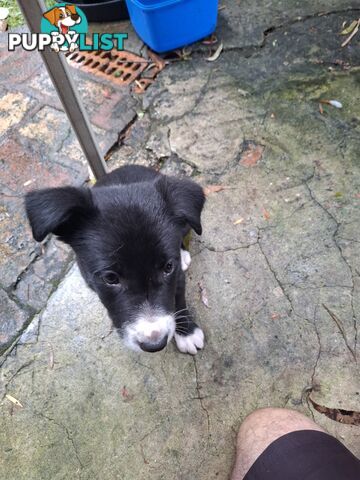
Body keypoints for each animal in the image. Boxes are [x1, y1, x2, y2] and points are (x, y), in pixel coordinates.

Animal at [24, 167, 205, 354]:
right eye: (110, 278)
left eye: (168, 267)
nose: (154, 345)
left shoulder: (178, 276)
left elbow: (179, 300)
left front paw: (187, 332)